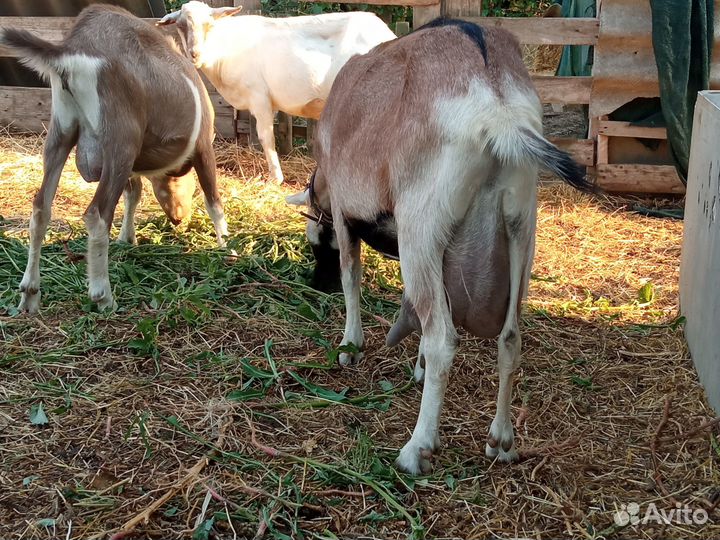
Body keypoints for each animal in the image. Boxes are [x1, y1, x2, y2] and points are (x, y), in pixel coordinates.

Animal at [1, 4, 229, 313]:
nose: (178, 218)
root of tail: (73, 49)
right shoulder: (204, 145)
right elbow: (213, 199)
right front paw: (227, 246)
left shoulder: (132, 165)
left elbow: (134, 193)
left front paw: (126, 238)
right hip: (121, 139)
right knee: (97, 213)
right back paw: (103, 295)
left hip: (61, 130)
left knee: (40, 208)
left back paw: (29, 295)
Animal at [158, 1, 396, 183]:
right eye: (180, 25)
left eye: (209, 24)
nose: (194, 54)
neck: (226, 49)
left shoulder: (259, 97)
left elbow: (266, 136)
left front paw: (276, 177)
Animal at [286, 19, 593, 475]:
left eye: (315, 242)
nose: (314, 283)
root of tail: (497, 109)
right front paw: (415, 366)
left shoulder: (344, 213)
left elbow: (352, 277)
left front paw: (350, 347)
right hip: (521, 226)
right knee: (510, 337)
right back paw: (501, 442)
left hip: (423, 221)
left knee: (444, 339)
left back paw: (417, 448)